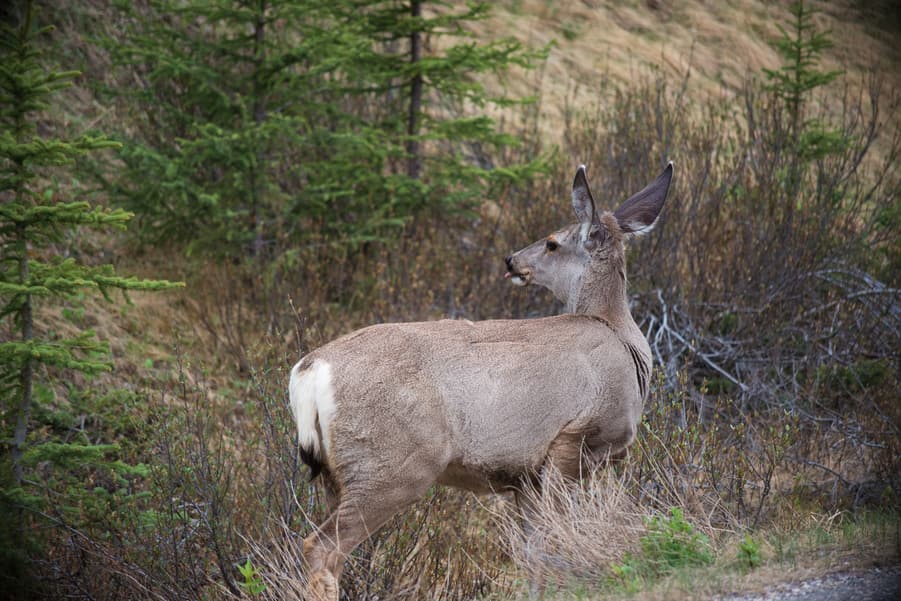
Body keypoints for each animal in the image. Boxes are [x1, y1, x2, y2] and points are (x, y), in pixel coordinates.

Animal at [292, 162, 672, 596]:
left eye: (552, 243)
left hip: (338, 474)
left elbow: (531, 554)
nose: (511, 260)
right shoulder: (573, 440)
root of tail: (310, 371)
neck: (619, 336)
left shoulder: (526, 479)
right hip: (390, 465)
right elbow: (551, 541)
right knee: (321, 547)